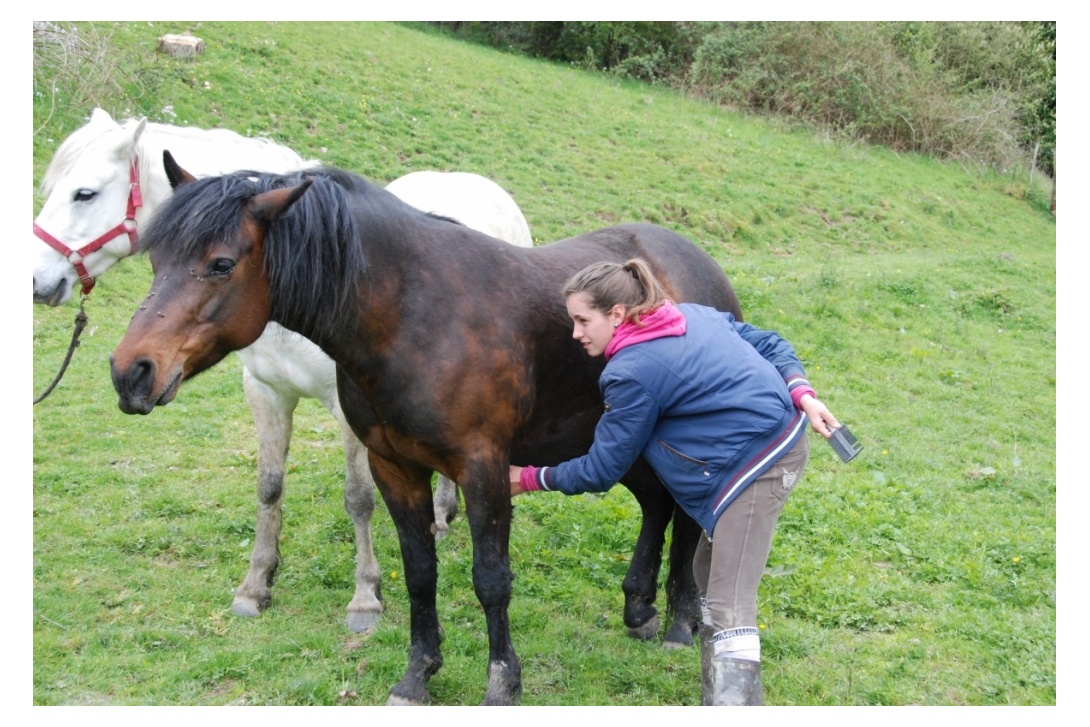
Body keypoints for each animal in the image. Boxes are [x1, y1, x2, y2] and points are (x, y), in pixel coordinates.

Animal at [36, 106, 538, 632]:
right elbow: (269, 486)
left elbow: (358, 496)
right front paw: (256, 584)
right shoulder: (265, 392)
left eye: (85, 193)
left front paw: (365, 596)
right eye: (157, 257)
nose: (37, 280)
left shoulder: (348, 410)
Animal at [110, 153, 741, 706]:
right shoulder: (395, 467)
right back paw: (640, 608)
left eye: (221, 264)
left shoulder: (483, 469)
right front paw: (418, 675)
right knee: (657, 506)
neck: (413, 315)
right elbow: (419, 573)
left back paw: (681, 622)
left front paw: (502, 682)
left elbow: (491, 579)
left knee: (687, 517)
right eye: (156, 261)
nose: (130, 372)